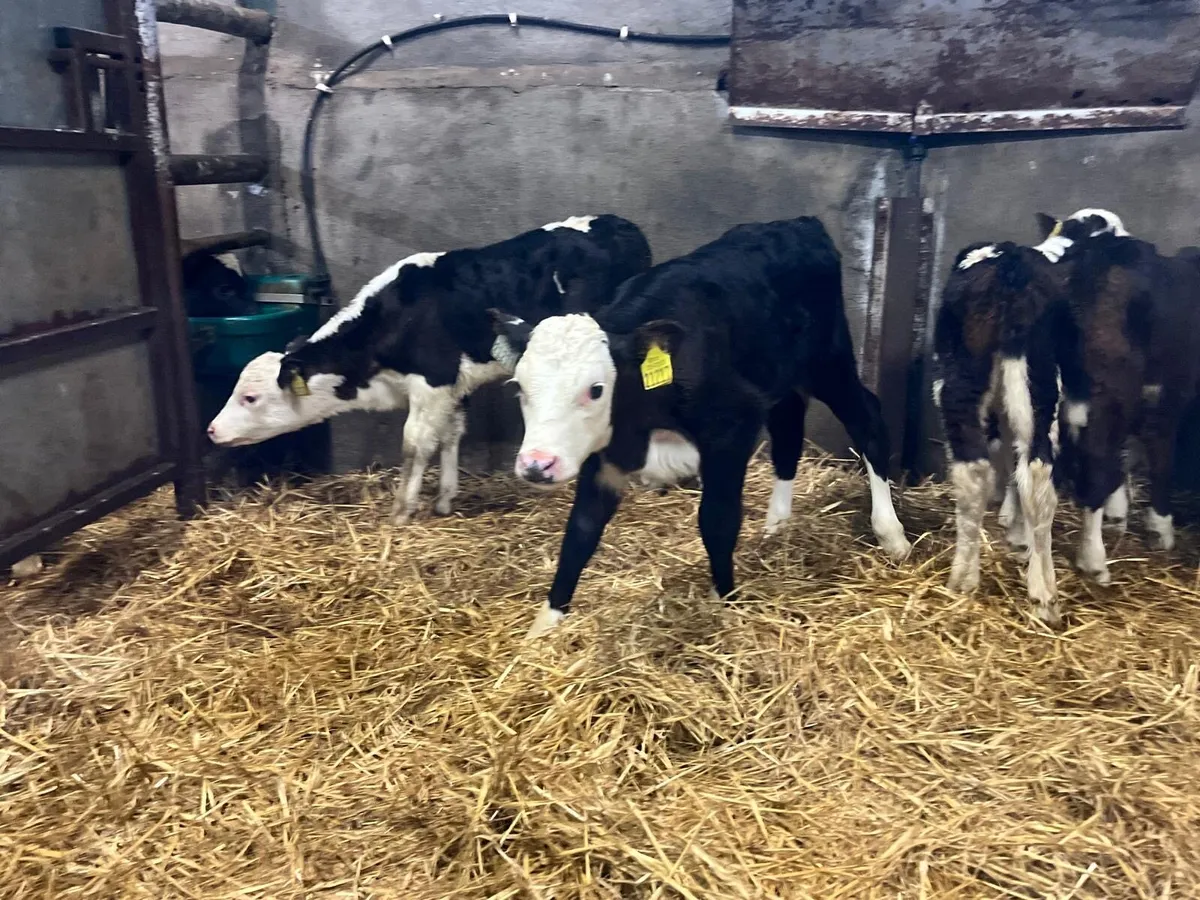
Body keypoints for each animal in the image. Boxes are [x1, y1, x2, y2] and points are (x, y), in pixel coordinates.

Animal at [208, 215, 652, 523]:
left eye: (250, 397)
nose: (211, 430)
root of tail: (618, 223)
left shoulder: (432, 381)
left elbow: (415, 444)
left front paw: (401, 510)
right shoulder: (454, 385)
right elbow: (450, 435)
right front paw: (443, 499)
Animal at [491, 216, 912, 639]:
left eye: (596, 389)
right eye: (519, 387)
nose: (536, 465)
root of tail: (795, 223)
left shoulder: (730, 431)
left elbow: (717, 520)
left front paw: (725, 602)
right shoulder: (602, 454)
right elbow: (580, 531)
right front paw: (545, 626)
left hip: (828, 360)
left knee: (867, 420)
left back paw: (892, 535)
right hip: (780, 377)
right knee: (788, 431)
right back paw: (777, 528)